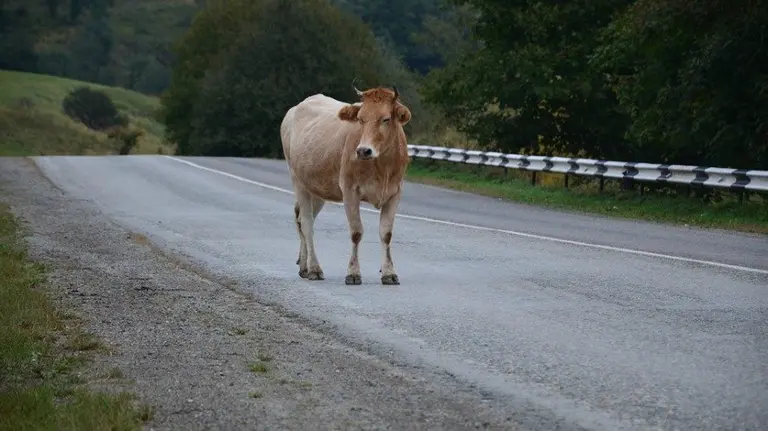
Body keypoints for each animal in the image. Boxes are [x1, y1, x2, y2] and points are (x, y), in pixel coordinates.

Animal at [280, 83, 412, 286]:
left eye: (386, 119)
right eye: (360, 119)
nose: (363, 150)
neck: (382, 166)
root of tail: (296, 108)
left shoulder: (394, 193)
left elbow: (386, 234)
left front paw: (389, 273)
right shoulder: (350, 190)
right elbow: (356, 232)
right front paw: (353, 273)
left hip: (317, 188)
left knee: (302, 219)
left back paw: (304, 266)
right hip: (298, 181)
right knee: (307, 224)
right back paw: (314, 269)